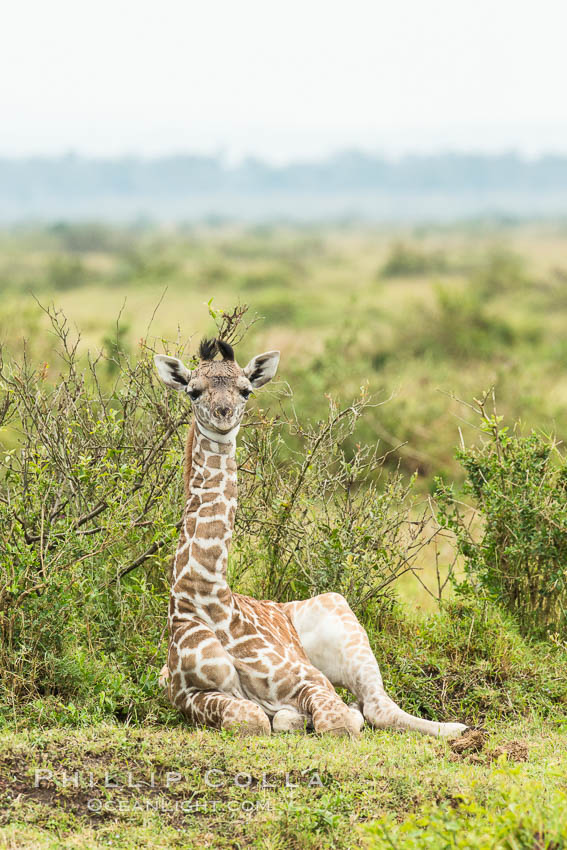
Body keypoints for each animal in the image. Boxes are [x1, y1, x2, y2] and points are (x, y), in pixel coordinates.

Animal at [155, 338, 470, 736]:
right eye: (193, 391)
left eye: (245, 390)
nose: (224, 415)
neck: (206, 593)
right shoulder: (186, 694)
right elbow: (251, 718)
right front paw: (286, 717)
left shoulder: (309, 678)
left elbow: (337, 721)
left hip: (342, 617)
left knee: (377, 706)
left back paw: (458, 729)